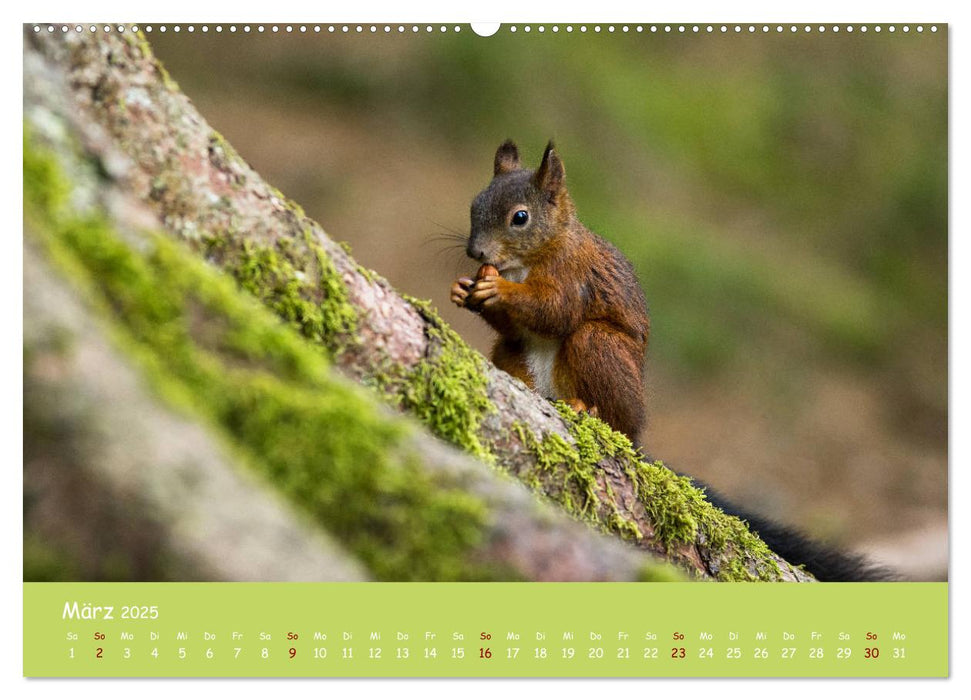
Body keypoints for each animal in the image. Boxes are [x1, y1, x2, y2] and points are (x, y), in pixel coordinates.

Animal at [452, 139, 648, 442]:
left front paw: (500, 287)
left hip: (602, 348)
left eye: (520, 217)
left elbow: (557, 312)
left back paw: (590, 408)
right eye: (475, 205)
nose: (475, 251)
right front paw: (461, 289)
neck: (523, 264)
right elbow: (514, 327)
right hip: (511, 353)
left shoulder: (573, 274)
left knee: (616, 418)